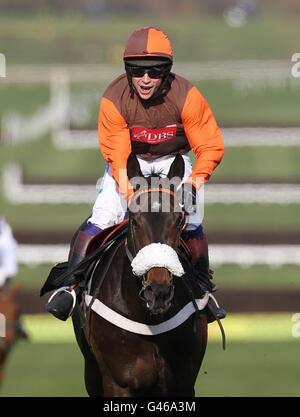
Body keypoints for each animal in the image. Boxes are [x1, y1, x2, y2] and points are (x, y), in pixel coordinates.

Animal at [72, 154, 209, 396]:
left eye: (178, 220)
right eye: (135, 220)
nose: (158, 291)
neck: (149, 320)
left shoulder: (182, 382)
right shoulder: (117, 383)